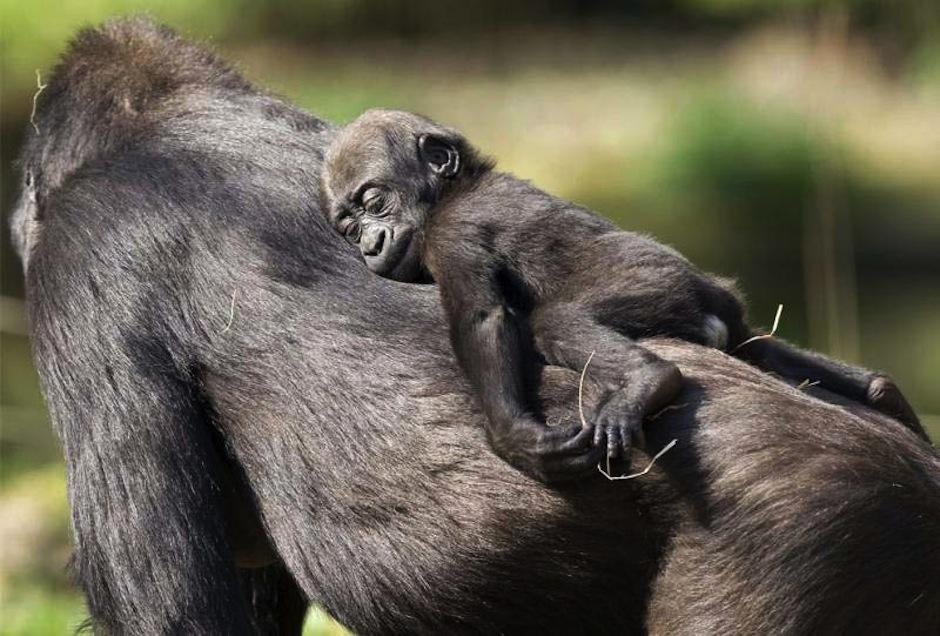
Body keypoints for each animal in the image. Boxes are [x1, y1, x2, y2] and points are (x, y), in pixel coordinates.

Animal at [320, 109, 920, 482]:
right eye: (348, 226)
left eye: (374, 203)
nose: (369, 245)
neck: (454, 190)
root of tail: (713, 295)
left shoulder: (454, 234)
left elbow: (482, 318)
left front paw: (515, 437)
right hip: (726, 317)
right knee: (762, 347)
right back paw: (881, 392)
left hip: (657, 283)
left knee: (557, 321)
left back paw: (650, 381)